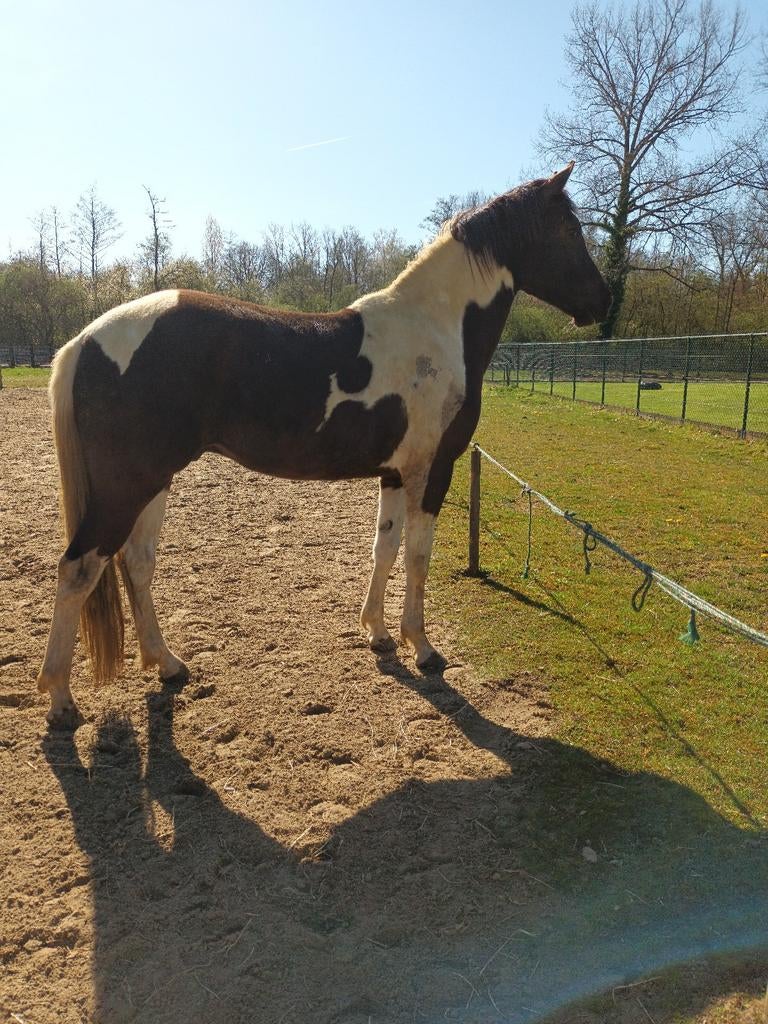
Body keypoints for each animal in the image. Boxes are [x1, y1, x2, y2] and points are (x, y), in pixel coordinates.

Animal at [36, 162, 611, 729]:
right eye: (570, 229)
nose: (601, 302)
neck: (436, 326)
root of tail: (86, 338)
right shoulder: (432, 472)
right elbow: (418, 556)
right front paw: (422, 647)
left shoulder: (395, 473)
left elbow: (384, 547)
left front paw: (378, 633)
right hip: (127, 486)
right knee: (78, 569)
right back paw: (60, 698)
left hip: (153, 481)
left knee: (137, 562)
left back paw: (167, 663)